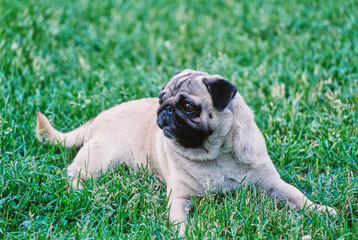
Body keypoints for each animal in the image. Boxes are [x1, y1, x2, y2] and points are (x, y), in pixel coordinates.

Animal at [36, 69, 336, 234]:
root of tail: (97, 118)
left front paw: (322, 210)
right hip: (100, 159)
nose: (165, 109)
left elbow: (299, 196)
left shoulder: (273, 184)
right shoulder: (180, 198)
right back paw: (79, 190)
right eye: (161, 99)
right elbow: (179, 220)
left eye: (189, 107)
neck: (218, 154)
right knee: (74, 171)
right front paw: (185, 233)